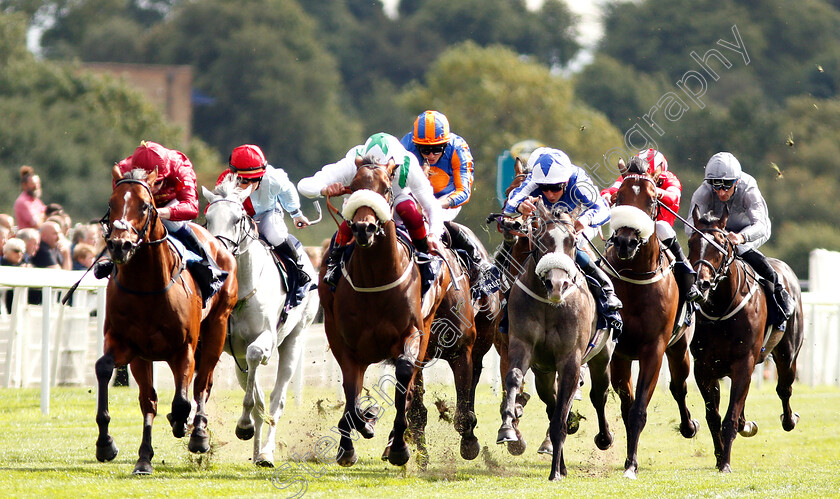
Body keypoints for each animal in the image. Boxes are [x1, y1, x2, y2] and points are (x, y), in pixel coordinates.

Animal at [96, 166, 238, 474]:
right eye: (111, 203)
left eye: (145, 205)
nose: (119, 245)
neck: (147, 287)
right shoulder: (127, 345)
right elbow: (106, 370)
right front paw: (106, 444)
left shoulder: (184, 348)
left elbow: (184, 399)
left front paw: (187, 427)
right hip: (146, 357)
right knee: (151, 400)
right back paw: (144, 458)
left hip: (217, 329)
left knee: (201, 384)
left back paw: (198, 433)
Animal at [202, 178, 320, 466]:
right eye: (208, 218)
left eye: (237, 219)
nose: (218, 253)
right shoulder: (231, 348)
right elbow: (255, 399)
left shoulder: (265, 337)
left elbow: (257, 356)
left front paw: (244, 426)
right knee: (261, 400)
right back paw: (256, 452)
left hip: (294, 340)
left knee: (278, 400)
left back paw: (266, 452)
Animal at [496, 201, 612, 482]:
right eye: (541, 239)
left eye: (572, 241)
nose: (557, 284)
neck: (550, 305)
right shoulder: (522, 344)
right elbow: (514, 378)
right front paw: (507, 428)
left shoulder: (571, 360)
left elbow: (562, 414)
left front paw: (555, 473)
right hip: (544, 373)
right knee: (552, 402)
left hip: (602, 357)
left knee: (598, 395)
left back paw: (603, 438)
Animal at [600, 173, 700, 480]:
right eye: (618, 197)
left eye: (652, 199)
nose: (625, 241)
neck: (636, 278)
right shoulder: (618, 352)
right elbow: (626, 404)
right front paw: (625, 457)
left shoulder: (653, 350)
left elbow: (639, 409)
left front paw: (631, 464)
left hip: (680, 349)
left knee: (679, 386)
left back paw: (689, 426)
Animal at [688, 206, 808, 472]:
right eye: (691, 242)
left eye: (721, 243)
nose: (701, 284)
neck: (721, 309)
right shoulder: (704, 368)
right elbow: (714, 417)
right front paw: (720, 457)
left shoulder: (744, 362)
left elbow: (730, 416)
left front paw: (725, 463)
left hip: (787, 355)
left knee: (784, 388)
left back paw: (789, 419)